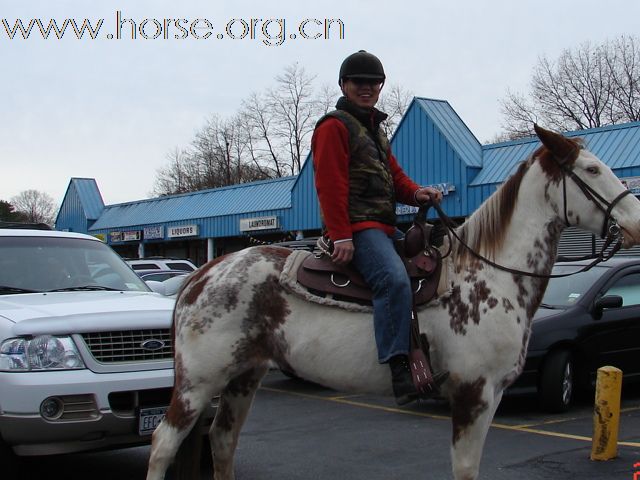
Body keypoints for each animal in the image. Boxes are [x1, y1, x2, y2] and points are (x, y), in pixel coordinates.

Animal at [145, 126, 640, 480]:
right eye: (592, 170)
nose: (636, 220)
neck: (488, 276)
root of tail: (200, 276)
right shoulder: (473, 393)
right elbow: (465, 469)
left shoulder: (490, 394)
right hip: (199, 380)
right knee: (163, 444)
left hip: (243, 376)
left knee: (222, 442)